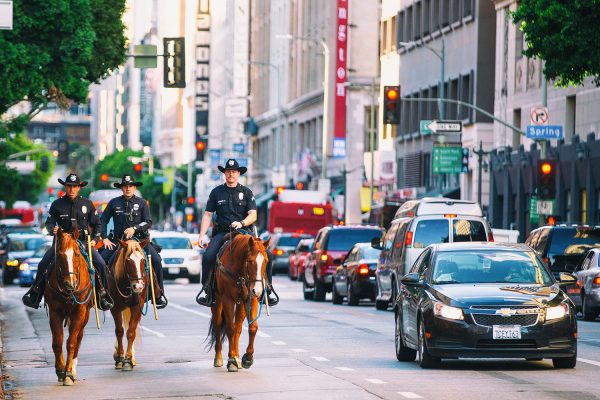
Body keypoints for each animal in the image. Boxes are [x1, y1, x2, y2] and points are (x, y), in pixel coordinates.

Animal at [45, 227, 94, 386]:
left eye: (77, 254)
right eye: (60, 254)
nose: (69, 284)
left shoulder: (79, 312)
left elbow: (71, 342)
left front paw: (68, 374)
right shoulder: (55, 312)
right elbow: (57, 342)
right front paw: (60, 370)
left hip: (85, 315)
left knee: (78, 338)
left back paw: (73, 369)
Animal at [108, 239, 156, 370]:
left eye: (143, 260)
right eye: (128, 261)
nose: (138, 286)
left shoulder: (137, 306)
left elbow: (131, 331)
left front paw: (128, 360)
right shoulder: (115, 307)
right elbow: (119, 331)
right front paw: (120, 358)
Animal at [207, 234, 270, 372]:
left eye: (266, 261)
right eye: (250, 261)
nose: (258, 290)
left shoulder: (251, 299)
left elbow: (252, 327)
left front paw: (247, 358)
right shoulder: (227, 299)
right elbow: (230, 329)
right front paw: (231, 360)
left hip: (241, 303)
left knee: (238, 327)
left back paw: (237, 357)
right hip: (217, 302)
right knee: (218, 323)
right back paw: (219, 358)